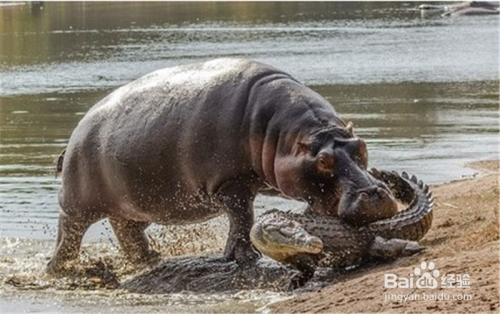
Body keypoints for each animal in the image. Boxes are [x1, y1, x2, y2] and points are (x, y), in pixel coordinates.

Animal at [47, 59, 398, 274]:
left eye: (361, 146)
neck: (282, 134)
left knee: (127, 230)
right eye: (324, 161)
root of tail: (75, 134)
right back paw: (62, 270)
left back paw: (152, 259)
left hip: (134, 204)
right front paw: (245, 258)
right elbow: (242, 218)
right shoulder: (231, 184)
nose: (376, 194)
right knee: (69, 233)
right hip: (78, 204)